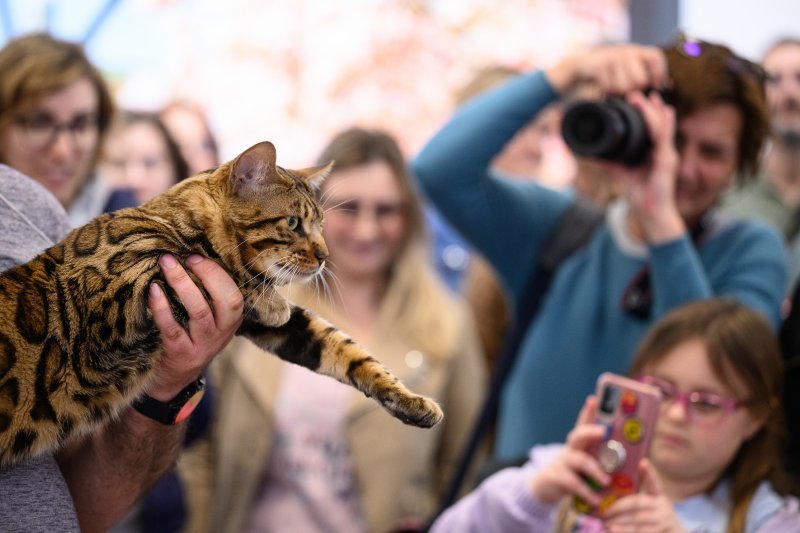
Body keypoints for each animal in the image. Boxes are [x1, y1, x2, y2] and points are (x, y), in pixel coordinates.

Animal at [0, 140, 444, 466]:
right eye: (293, 223)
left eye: (322, 225)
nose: (324, 255)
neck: (170, 219)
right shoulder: (118, 296)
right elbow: (203, 263)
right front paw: (264, 296)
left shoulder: (273, 328)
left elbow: (345, 349)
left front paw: (411, 400)